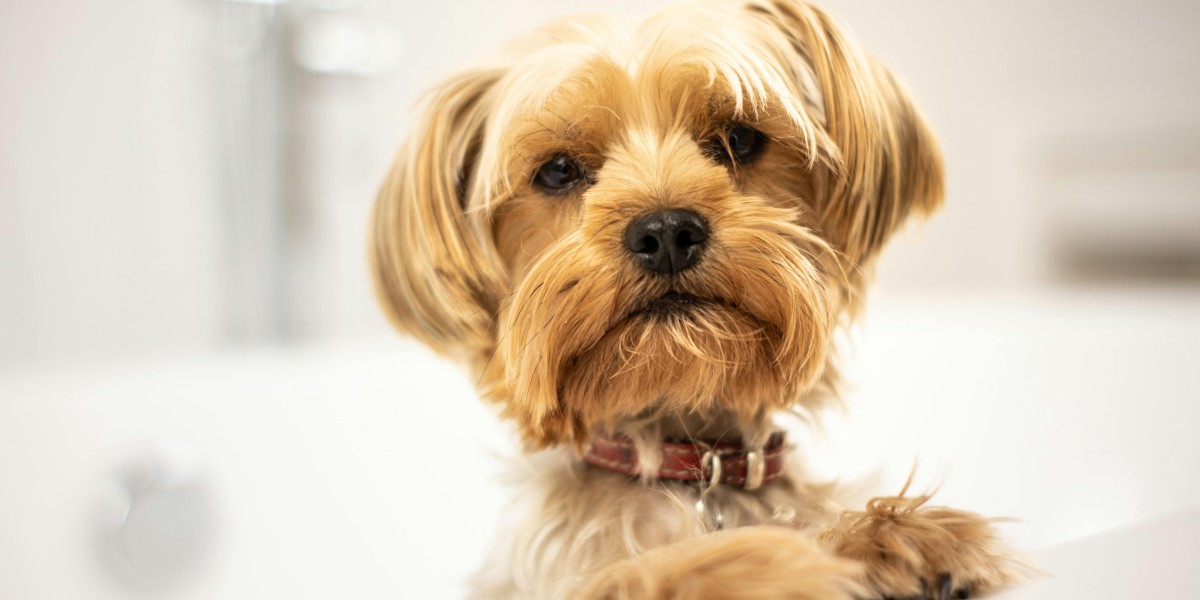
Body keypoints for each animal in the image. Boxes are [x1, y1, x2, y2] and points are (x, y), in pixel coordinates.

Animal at [372, 2, 1022, 597]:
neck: (689, 464)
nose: (665, 232)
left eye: (739, 138)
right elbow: (657, 572)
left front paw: (893, 537)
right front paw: (784, 560)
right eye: (557, 170)